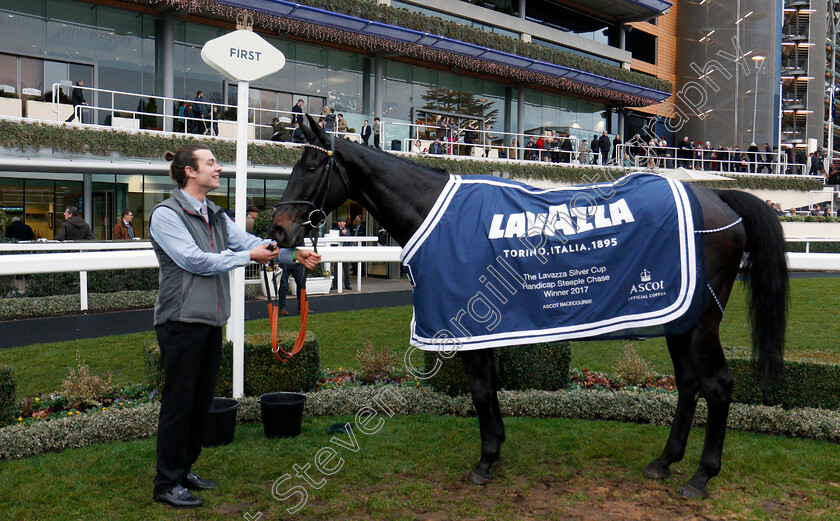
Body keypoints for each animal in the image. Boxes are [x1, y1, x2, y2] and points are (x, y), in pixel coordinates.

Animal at [274, 116, 788, 498]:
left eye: (310, 166)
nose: (278, 228)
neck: (437, 217)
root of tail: (719, 197)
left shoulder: (468, 324)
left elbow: (481, 391)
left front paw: (485, 461)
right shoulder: (485, 329)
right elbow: (490, 390)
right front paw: (495, 448)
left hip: (702, 322)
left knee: (718, 386)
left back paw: (702, 476)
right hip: (679, 319)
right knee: (688, 385)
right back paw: (664, 461)